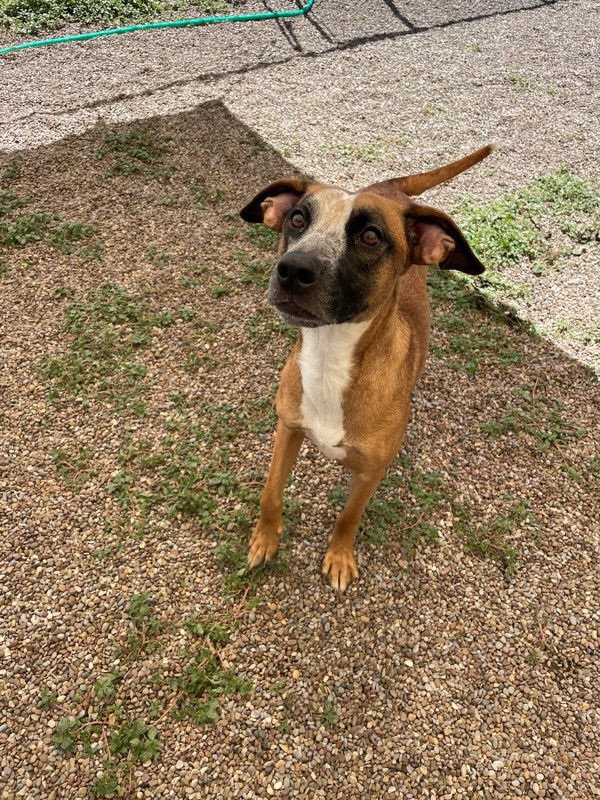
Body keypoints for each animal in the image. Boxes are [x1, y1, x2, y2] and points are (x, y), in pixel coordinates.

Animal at [238, 147, 492, 592]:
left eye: (370, 237)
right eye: (297, 219)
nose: (293, 269)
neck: (329, 360)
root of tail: (388, 188)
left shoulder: (371, 472)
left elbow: (348, 516)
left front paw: (339, 557)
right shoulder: (287, 428)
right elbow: (270, 492)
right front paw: (265, 539)